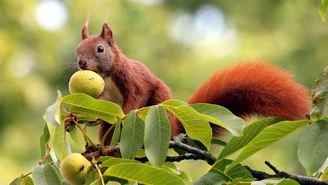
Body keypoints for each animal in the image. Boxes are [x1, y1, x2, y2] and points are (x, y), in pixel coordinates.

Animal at [75, 23, 312, 144]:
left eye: (100, 49)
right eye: (78, 48)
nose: (81, 62)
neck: (106, 76)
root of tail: (174, 127)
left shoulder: (130, 78)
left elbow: (138, 95)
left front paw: (125, 114)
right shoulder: (101, 97)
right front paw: (75, 119)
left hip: (160, 103)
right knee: (105, 128)